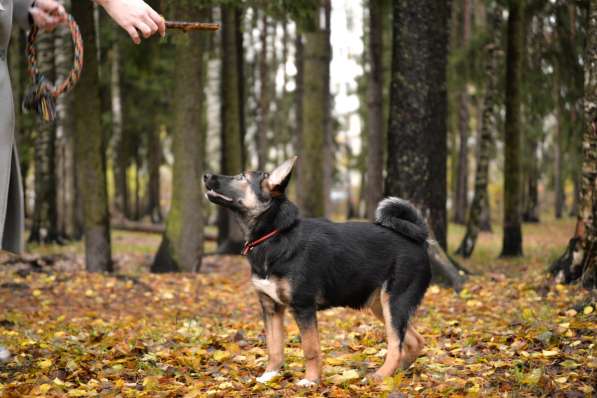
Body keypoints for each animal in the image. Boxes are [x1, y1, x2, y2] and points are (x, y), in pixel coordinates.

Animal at [203, 157, 430, 388]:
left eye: (242, 177)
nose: (206, 175)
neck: (273, 235)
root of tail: (418, 239)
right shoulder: (271, 307)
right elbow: (274, 348)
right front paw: (269, 376)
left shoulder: (303, 307)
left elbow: (310, 349)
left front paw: (310, 380)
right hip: (379, 306)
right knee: (414, 340)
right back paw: (397, 373)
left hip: (394, 302)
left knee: (396, 345)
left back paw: (380, 376)